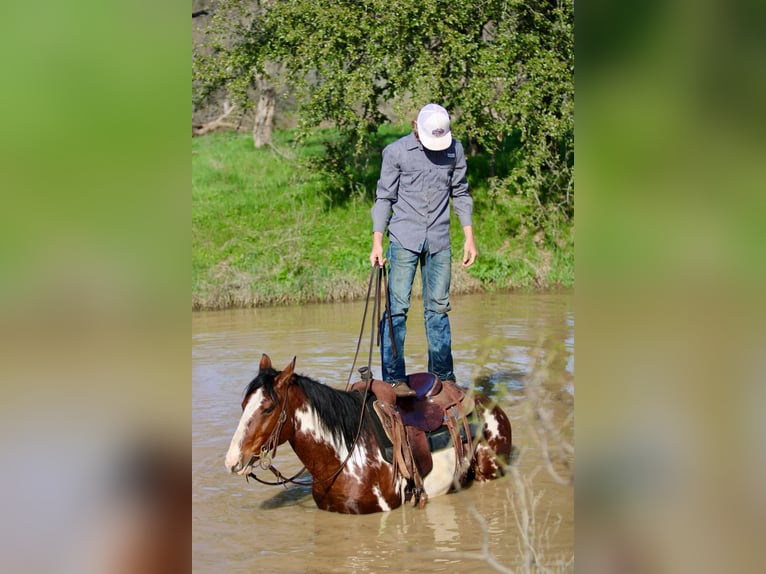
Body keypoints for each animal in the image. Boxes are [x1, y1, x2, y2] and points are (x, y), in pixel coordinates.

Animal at [224, 354, 513, 514]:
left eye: (267, 408)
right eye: (243, 404)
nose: (232, 461)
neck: (342, 457)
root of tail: (488, 402)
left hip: (489, 472)